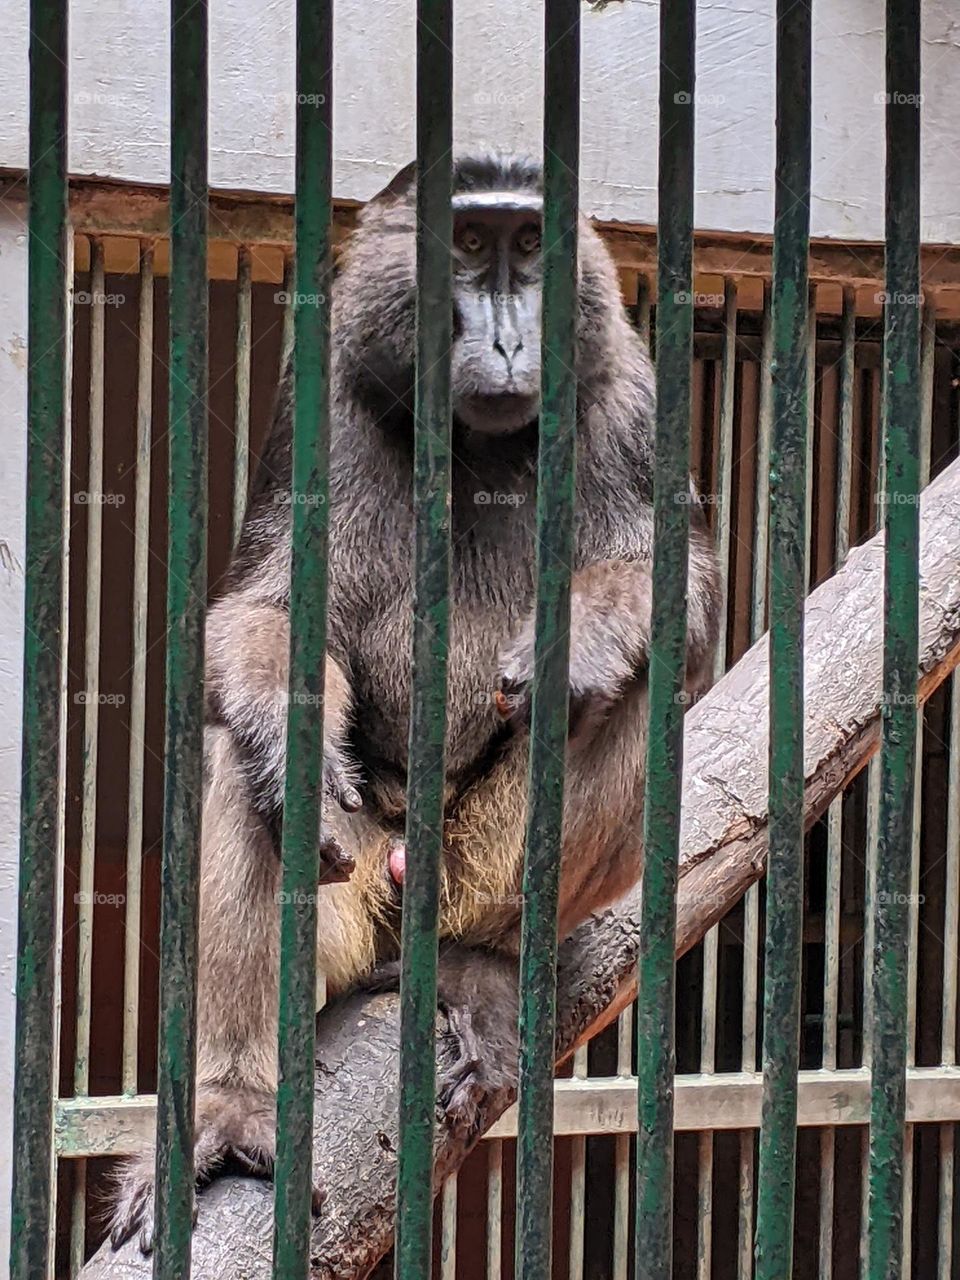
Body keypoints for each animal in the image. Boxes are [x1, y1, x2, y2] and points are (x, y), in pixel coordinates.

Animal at [108, 152, 721, 1249]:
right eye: (468, 244)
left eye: (529, 244)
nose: (511, 338)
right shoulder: (322, 398)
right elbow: (267, 612)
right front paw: (287, 736)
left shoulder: (631, 398)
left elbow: (678, 596)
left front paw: (580, 640)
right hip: (362, 874)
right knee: (246, 768)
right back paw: (233, 1105)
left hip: (465, 862)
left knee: (624, 698)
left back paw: (481, 956)